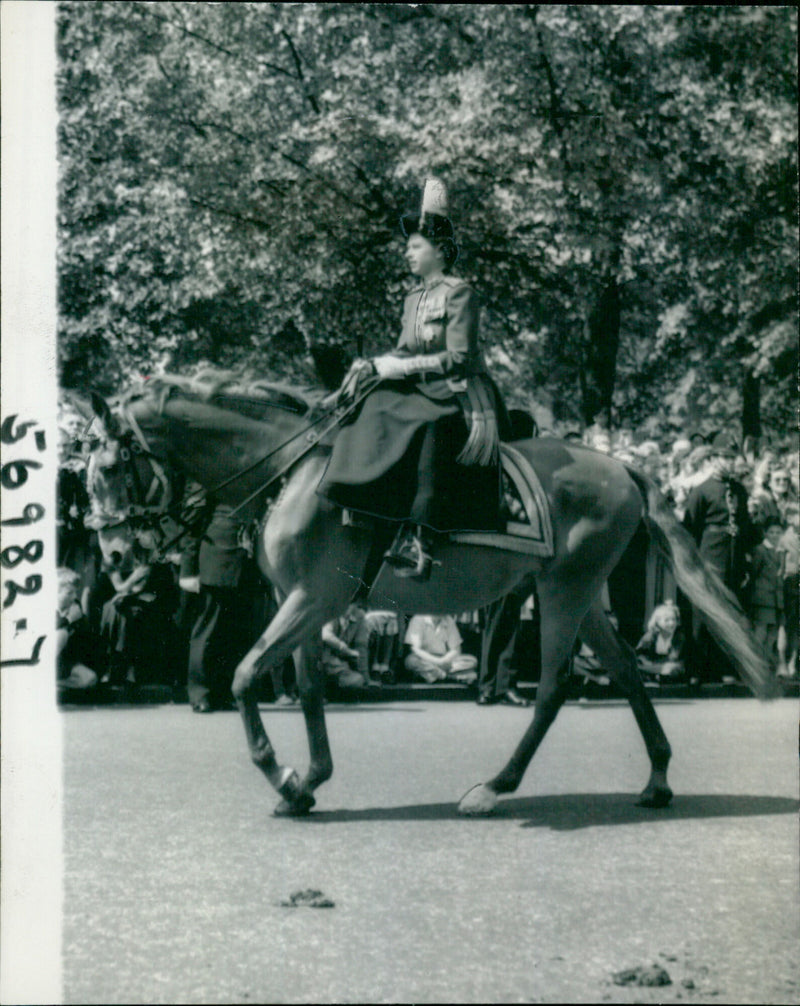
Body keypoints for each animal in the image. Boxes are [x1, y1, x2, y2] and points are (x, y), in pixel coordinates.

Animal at [83, 376, 776, 816]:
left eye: (110, 468)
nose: (112, 555)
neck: (296, 470)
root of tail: (621, 467)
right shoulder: (296, 598)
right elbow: (304, 687)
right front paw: (309, 781)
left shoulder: (315, 597)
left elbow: (248, 675)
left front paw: (282, 774)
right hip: (576, 593)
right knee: (627, 671)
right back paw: (656, 779)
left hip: (566, 590)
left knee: (555, 687)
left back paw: (496, 786)